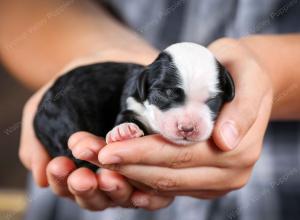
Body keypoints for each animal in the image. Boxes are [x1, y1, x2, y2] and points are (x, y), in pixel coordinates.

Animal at [32, 43, 234, 170]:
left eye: (213, 100)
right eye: (167, 93)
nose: (187, 128)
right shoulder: (132, 104)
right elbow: (127, 117)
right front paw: (124, 132)